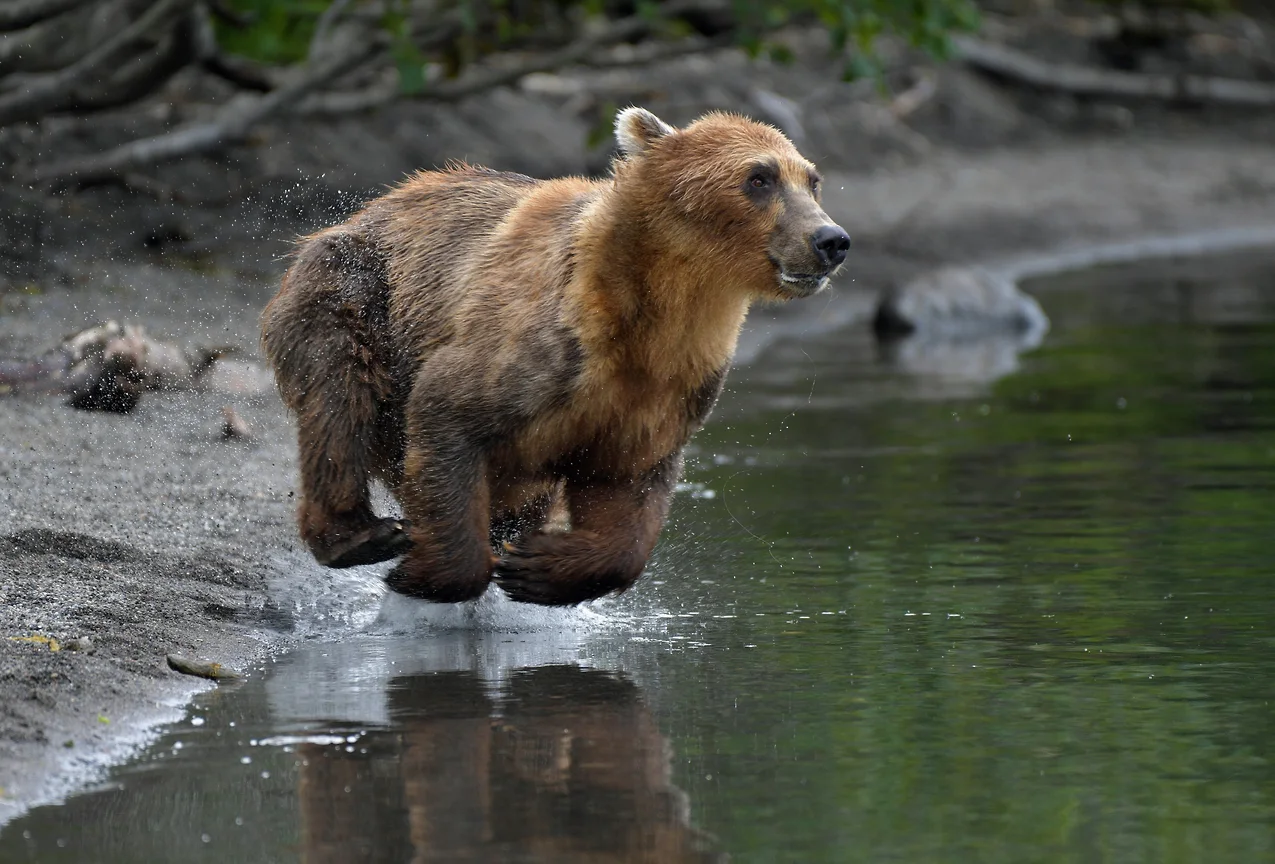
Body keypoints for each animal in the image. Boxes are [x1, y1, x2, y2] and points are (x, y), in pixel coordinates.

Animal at [261, 108, 846, 606]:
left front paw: (536, 569)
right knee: (341, 399)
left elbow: (629, 485)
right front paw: (423, 573)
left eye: (812, 180)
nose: (831, 239)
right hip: (355, 291)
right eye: (759, 178)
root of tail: (377, 203)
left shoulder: (661, 390)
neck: (647, 314)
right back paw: (362, 534)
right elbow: (448, 412)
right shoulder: (535, 348)